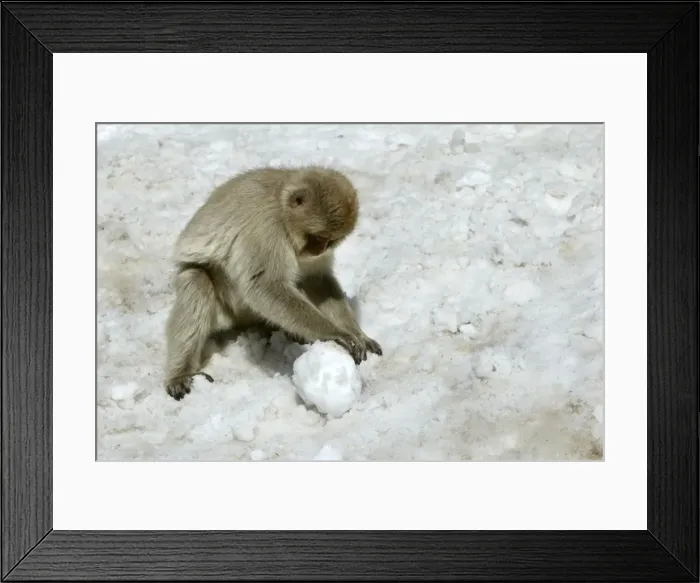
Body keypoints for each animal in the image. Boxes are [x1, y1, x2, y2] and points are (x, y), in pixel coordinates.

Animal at [163, 165, 383, 400]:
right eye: (317, 237)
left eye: (330, 241)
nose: (318, 250)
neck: (282, 205)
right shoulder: (266, 227)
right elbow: (264, 285)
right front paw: (336, 334)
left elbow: (316, 280)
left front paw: (356, 333)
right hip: (225, 310)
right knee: (197, 280)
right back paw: (180, 372)